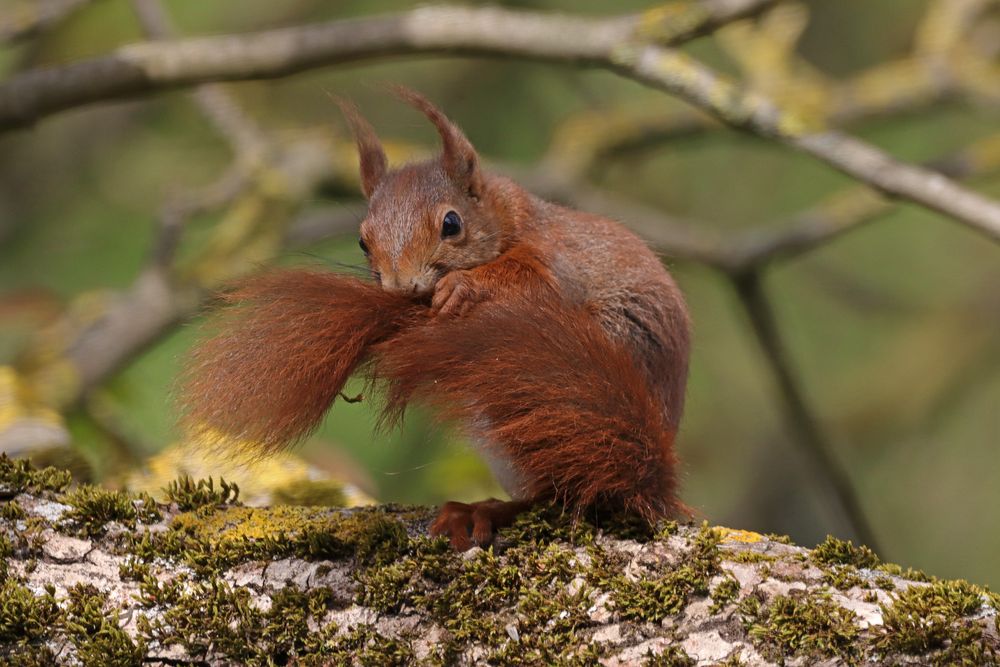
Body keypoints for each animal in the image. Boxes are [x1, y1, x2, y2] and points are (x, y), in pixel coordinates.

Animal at [180, 87, 692, 548]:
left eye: (451, 223)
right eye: (362, 241)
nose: (401, 286)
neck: (506, 216)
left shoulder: (556, 256)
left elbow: (530, 277)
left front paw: (461, 288)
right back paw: (481, 511)